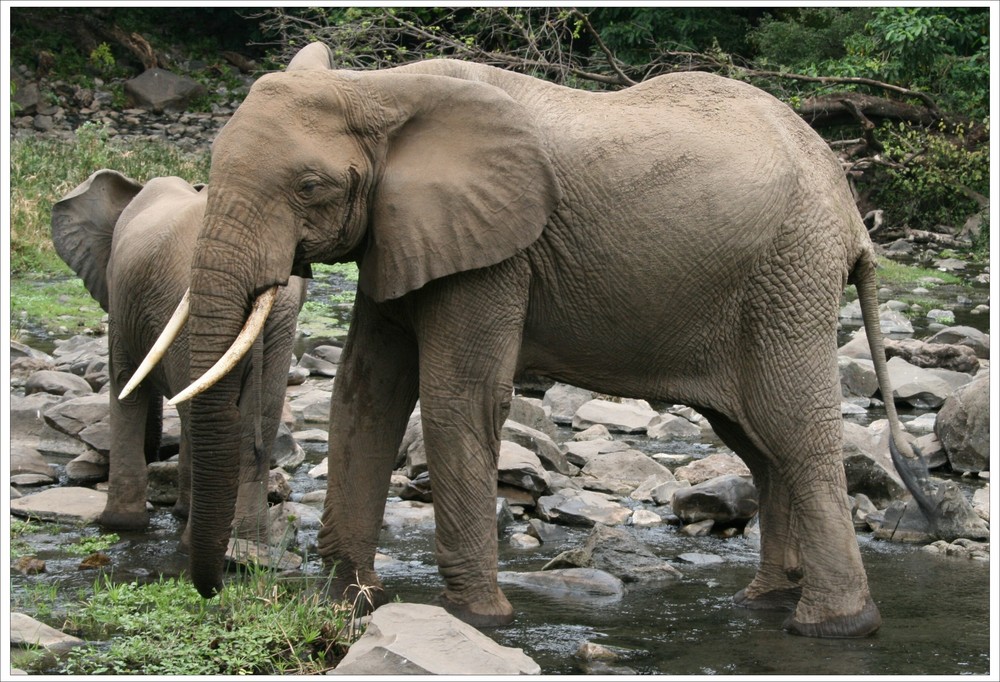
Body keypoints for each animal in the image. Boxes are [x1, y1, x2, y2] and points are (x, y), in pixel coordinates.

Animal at [49, 170, 304, 540]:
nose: (153, 451)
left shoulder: (120, 303)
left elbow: (125, 385)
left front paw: (119, 525)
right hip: (278, 324)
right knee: (259, 417)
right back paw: (246, 538)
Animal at [168, 51, 964, 636]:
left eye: (309, 185)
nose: (215, 586)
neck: (377, 89)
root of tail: (853, 210)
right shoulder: (401, 234)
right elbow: (365, 392)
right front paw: (350, 603)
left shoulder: (497, 253)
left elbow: (458, 397)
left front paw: (481, 620)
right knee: (760, 444)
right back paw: (763, 604)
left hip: (788, 275)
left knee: (795, 431)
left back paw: (834, 629)